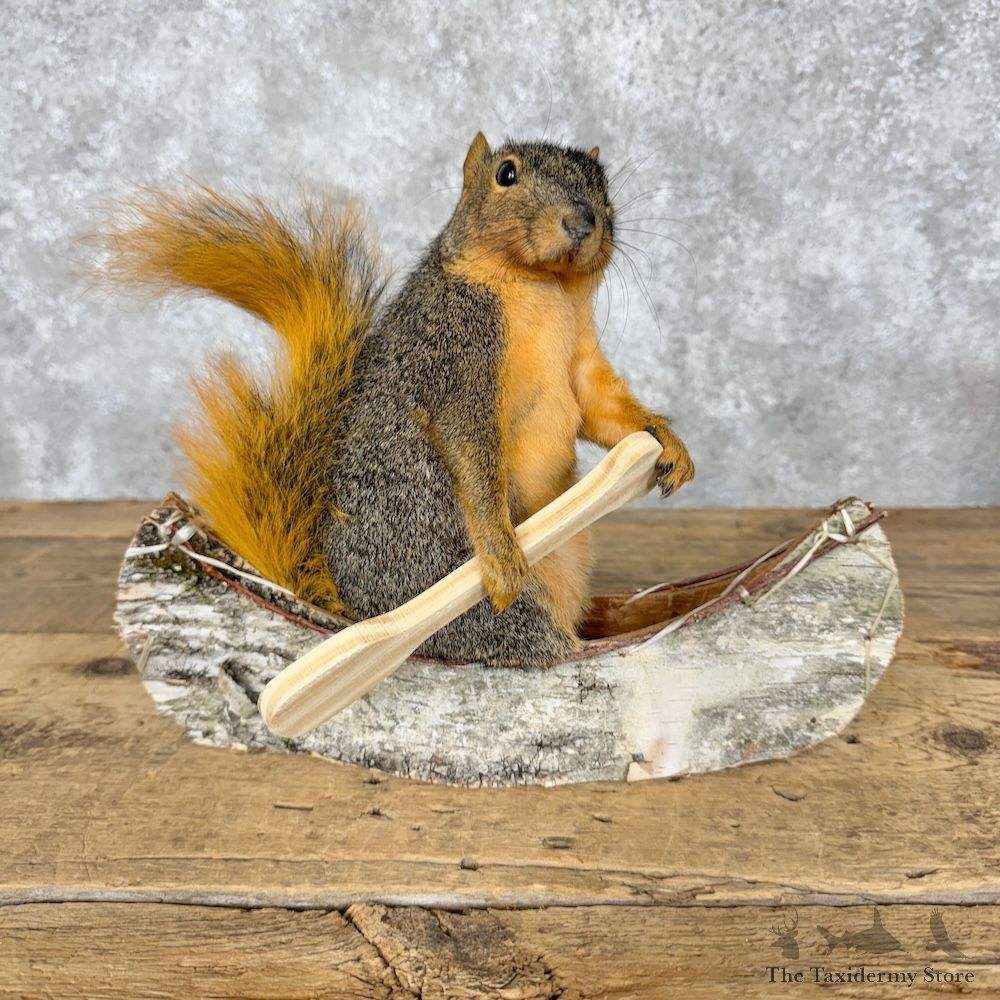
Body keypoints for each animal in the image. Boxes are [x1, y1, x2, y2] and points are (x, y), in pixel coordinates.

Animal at [105, 133, 695, 667]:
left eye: (602, 184)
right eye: (506, 174)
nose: (582, 221)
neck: (546, 289)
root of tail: (348, 611)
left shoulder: (581, 358)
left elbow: (604, 410)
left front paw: (669, 444)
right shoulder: (454, 353)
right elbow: (472, 451)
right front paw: (501, 552)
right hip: (478, 605)